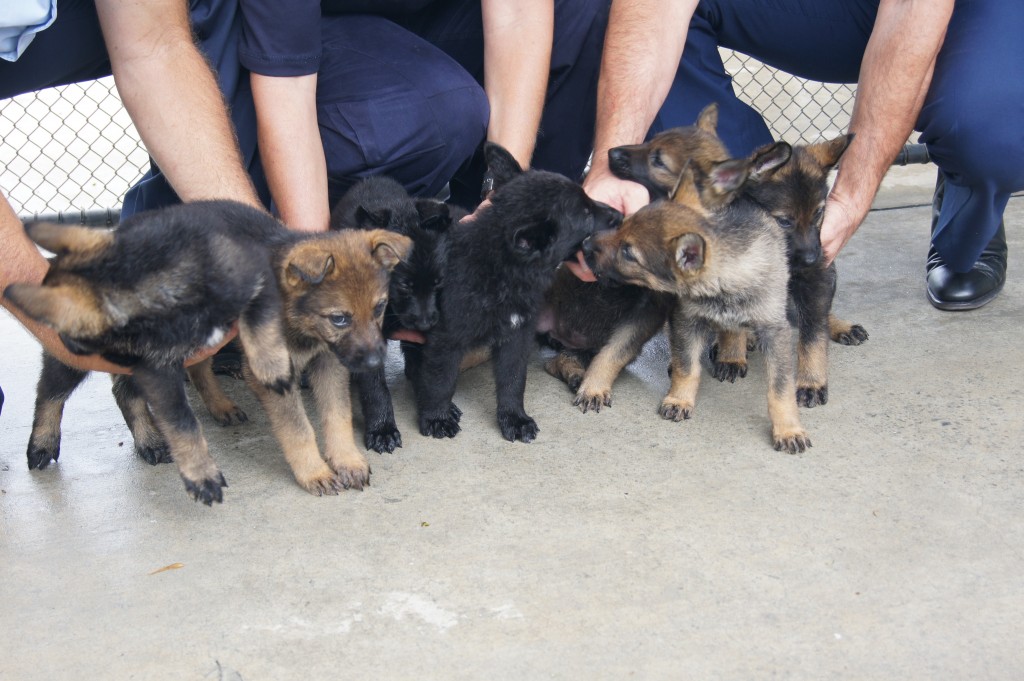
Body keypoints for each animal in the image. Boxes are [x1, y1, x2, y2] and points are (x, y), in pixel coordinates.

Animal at [6, 201, 296, 503]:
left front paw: (272, 369)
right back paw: (43, 442)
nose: (60, 338)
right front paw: (201, 474)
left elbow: (260, 321)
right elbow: (182, 421)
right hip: (71, 365)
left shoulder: (253, 277)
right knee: (50, 392)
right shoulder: (155, 369)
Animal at [247, 228, 411, 493]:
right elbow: (298, 430)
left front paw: (347, 461)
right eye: (339, 319)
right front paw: (314, 472)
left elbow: (338, 415)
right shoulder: (272, 377)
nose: (375, 364)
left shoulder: (330, 363)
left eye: (379, 307)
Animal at [411, 142, 618, 440]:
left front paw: (514, 418)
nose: (620, 214)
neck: (501, 271)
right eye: (586, 214)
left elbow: (513, 381)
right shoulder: (446, 339)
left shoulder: (516, 337)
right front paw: (437, 416)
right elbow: (440, 381)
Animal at [589, 148, 811, 454]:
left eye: (628, 253)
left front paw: (788, 429)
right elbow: (687, 367)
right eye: (622, 225)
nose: (585, 245)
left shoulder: (775, 331)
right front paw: (679, 398)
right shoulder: (686, 319)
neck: (726, 283)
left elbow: (780, 388)